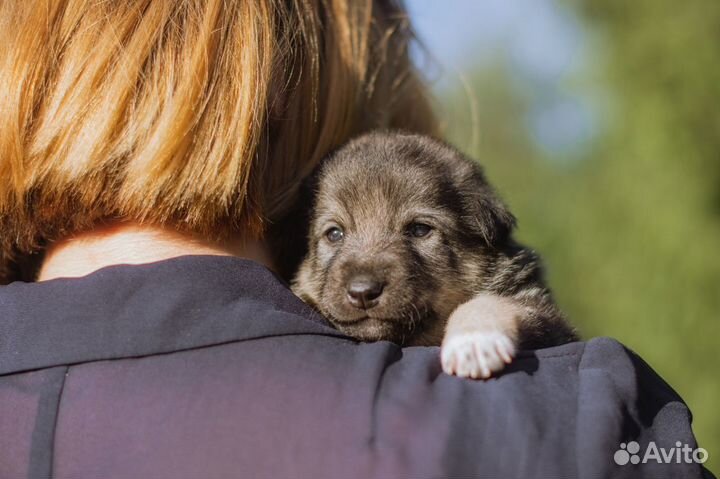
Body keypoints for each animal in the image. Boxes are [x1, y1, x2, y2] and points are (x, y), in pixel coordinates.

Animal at [290, 131, 576, 378]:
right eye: (334, 233)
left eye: (419, 229)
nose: (362, 292)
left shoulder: (548, 316)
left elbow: (491, 301)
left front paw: (473, 341)